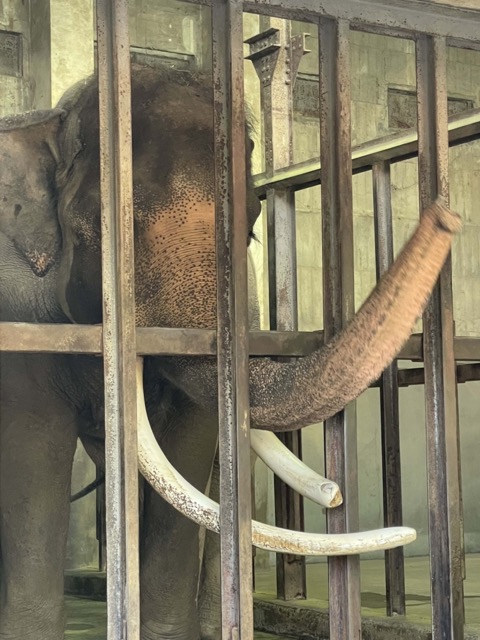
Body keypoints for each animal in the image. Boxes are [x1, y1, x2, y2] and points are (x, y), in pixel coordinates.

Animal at [0, 61, 462, 640]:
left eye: (249, 234)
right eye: (116, 231)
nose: (446, 214)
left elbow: (189, 441)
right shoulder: (21, 312)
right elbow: (35, 444)